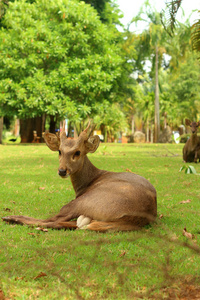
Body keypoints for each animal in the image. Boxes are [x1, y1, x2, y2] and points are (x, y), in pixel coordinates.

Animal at [2, 122, 157, 232]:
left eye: (77, 152)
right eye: (59, 151)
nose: (62, 171)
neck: (87, 181)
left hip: (85, 201)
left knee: (53, 220)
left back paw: (10, 218)